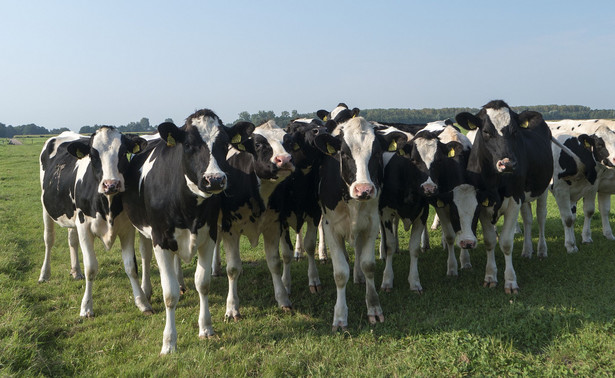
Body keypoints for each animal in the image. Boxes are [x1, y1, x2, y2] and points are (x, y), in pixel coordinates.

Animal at [38, 128, 152, 318]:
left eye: (123, 153)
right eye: (93, 155)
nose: (111, 184)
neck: (108, 204)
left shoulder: (127, 229)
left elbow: (131, 267)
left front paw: (142, 302)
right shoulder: (84, 227)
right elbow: (91, 268)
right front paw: (86, 307)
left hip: (72, 215)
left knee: (72, 240)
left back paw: (75, 271)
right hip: (46, 207)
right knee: (48, 240)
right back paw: (45, 274)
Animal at [121, 110, 254, 354]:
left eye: (224, 144)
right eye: (189, 145)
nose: (215, 179)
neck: (189, 207)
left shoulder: (208, 237)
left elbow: (203, 283)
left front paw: (206, 328)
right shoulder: (160, 239)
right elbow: (169, 294)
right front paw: (169, 342)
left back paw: (181, 283)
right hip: (143, 230)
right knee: (144, 257)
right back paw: (146, 292)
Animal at [316, 104, 406, 330]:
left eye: (377, 153)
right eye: (344, 154)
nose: (364, 189)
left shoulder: (371, 224)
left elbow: (368, 265)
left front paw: (374, 307)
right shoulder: (331, 227)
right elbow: (340, 273)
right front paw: (340, 316)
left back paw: (358, 276)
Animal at [454, 99, 556, 292]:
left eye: (515, 131)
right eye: (486, 131)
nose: (507, 164)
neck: (494, 179)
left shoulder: (514, 200)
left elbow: (507, 242)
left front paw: (510, 281)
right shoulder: (482, 204)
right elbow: (489, 241)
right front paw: (490, 276)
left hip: (543, 188)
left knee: (540, 217)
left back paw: (541, 250)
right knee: (528, 218)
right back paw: (527, 251)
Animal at [552, 119, 615, 252]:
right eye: (600, 145)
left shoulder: (597, 186)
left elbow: (596, 210)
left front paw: (607, 235)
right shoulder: (560, 190)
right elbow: (568, 218)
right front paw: (573, 244)